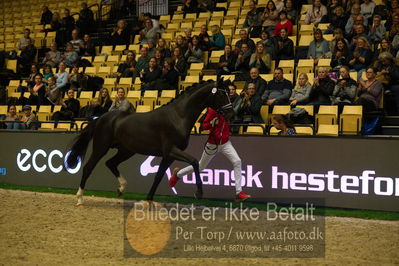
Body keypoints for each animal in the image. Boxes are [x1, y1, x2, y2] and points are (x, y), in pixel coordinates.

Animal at [65, 79, 234, 206]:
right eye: (221, 93)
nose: (231, 113)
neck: (178, 117)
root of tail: (102, 118)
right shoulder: (171, 150)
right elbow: (194, 162)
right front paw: (199, 193)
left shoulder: (169, 156)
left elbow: (158, 176)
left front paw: (149, 201)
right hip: (101, 147)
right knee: (88, 167)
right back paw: (79, 198)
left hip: (126, 150)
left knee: (110, 163)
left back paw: (121, 189)